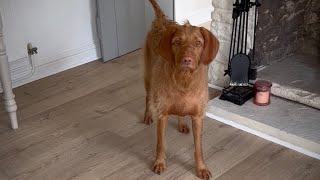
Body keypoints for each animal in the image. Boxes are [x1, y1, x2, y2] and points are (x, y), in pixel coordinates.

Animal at [144, 0, 219, 179]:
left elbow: (198, 149)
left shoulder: (198, 117)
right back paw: (147, 115)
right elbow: (160, 144)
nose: (187, 60)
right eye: (177, 42)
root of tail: (162, 21)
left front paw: (201, 168)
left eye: (198, 43)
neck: (184, 80)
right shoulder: (162, 115)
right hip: (149, 77)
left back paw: (182, 123)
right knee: (147, 97)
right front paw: (159, 163)